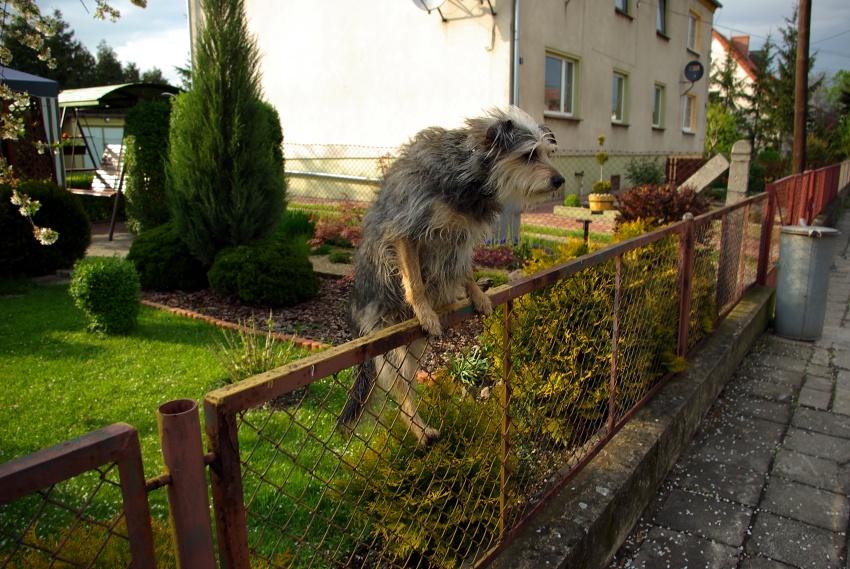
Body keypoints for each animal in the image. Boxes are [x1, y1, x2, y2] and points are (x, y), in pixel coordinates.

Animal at [338, 105, 564, 444]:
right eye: (529, 155)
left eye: (547, 153)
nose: (559, 180)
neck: (468, 173)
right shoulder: (406, 229)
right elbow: (414, 280)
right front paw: (424, 311)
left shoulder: (460, 238)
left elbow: (463, 270)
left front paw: (477, 294)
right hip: (390, 348)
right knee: (400, 394)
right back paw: (420, 431)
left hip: (414, 350)